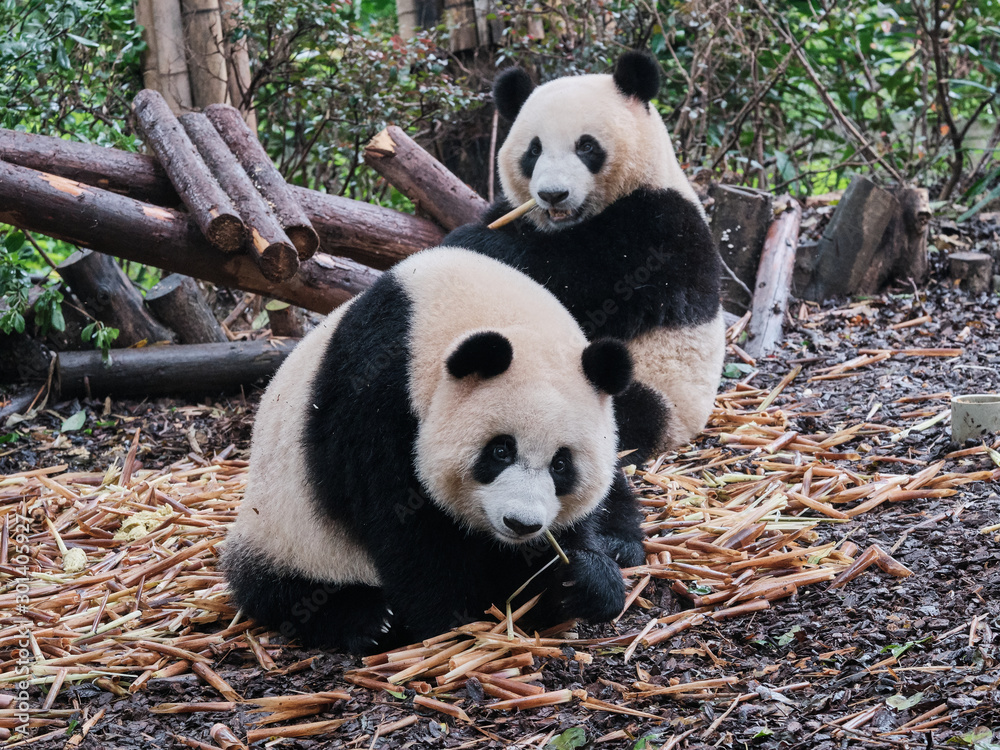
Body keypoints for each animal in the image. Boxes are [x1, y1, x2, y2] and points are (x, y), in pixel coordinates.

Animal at [224, 247, 642, 654]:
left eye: (561, 464)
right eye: (500, 451)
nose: (521, 524)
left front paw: (580, 579)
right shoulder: (378, 400)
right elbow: (406, 528)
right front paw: (452, 623)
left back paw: (620, 546)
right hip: (288, 532)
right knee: (281, 591)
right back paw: (368, 621)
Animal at [444, 50, 725, 463]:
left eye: (586, 147)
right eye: (534, 150)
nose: (553, 194)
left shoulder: (657, 229)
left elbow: (583, 285)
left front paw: (474, 244)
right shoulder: (518, 213)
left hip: (661, 388)